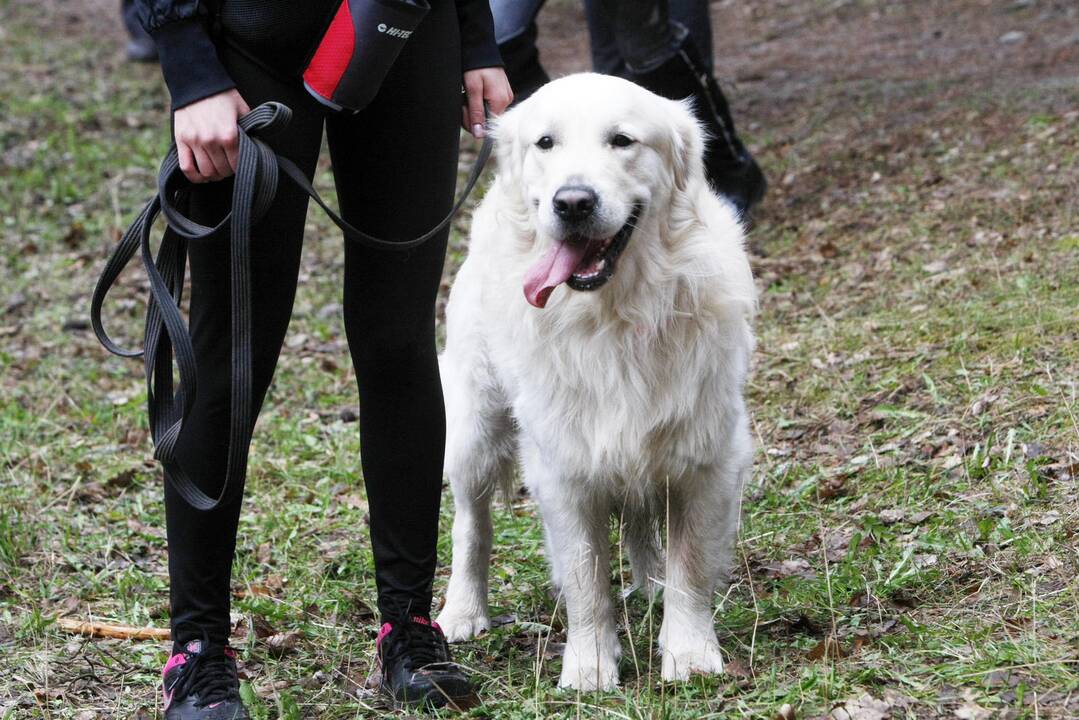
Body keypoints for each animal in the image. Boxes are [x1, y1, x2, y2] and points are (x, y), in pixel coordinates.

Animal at [433, 74, 755, 690]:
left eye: (622, 140)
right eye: (546, 143)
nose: (573, 202)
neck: (614, 316)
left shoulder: (704, 453)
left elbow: (690, 563)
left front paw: (689, 652)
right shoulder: (563, 466)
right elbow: (584, 576)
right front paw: (589, 666)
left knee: (639, 519)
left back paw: (649, 585)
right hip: (475, 427)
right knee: (470, 523)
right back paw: (462, 610)